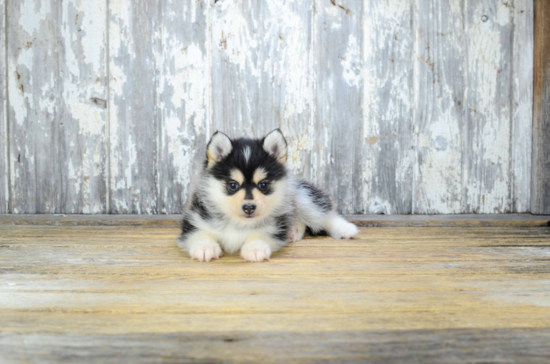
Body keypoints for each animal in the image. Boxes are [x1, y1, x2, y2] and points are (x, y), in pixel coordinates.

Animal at [181, 129, 360, 264]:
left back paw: (344, 229)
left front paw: (255, 248)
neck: (239, 223)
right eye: (233, 185)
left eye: (263, 185)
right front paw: (205, 247)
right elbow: (200, 233)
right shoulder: (195, 219)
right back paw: (294, 230)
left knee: (323, 214)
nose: (249, 207)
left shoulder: (275, 226)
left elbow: (261, 233)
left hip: (301, 194)